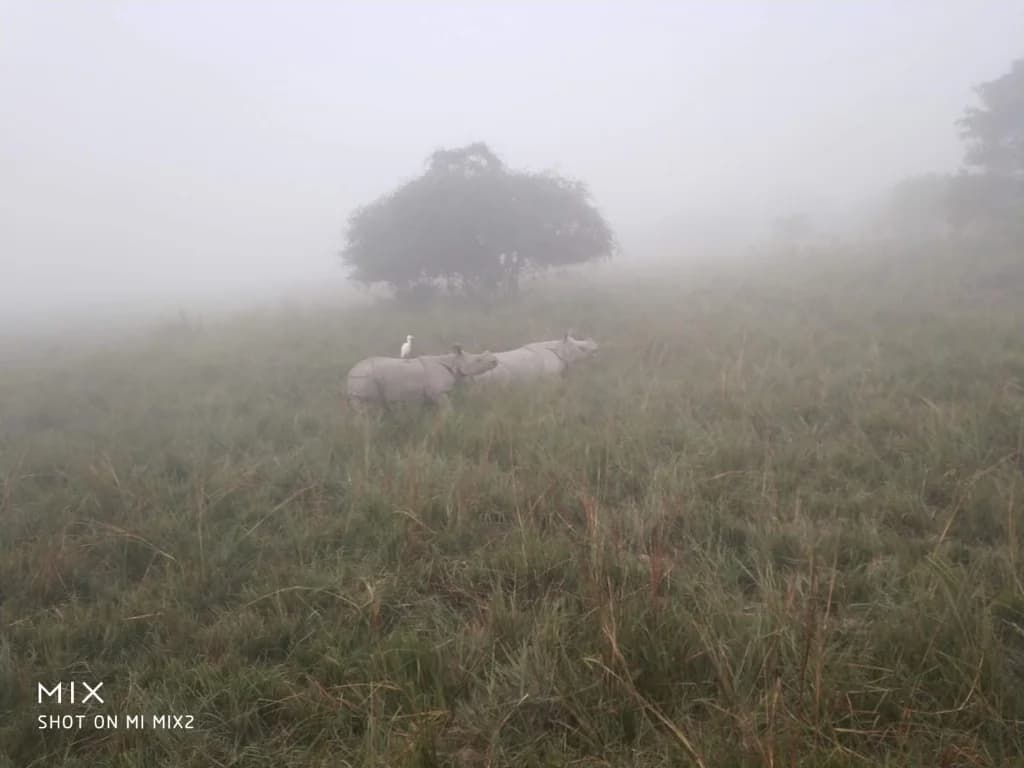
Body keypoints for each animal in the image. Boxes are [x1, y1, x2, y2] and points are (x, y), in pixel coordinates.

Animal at [346, 345, 498, 413]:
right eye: (478, 360)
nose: (495, 361)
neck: (453, 361)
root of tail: (350, 373)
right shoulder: (438, 392)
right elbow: (447, 408)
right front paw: (450, 418)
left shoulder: (428, 395)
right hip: (363, 380)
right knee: (365, 410)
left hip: (360, 381)